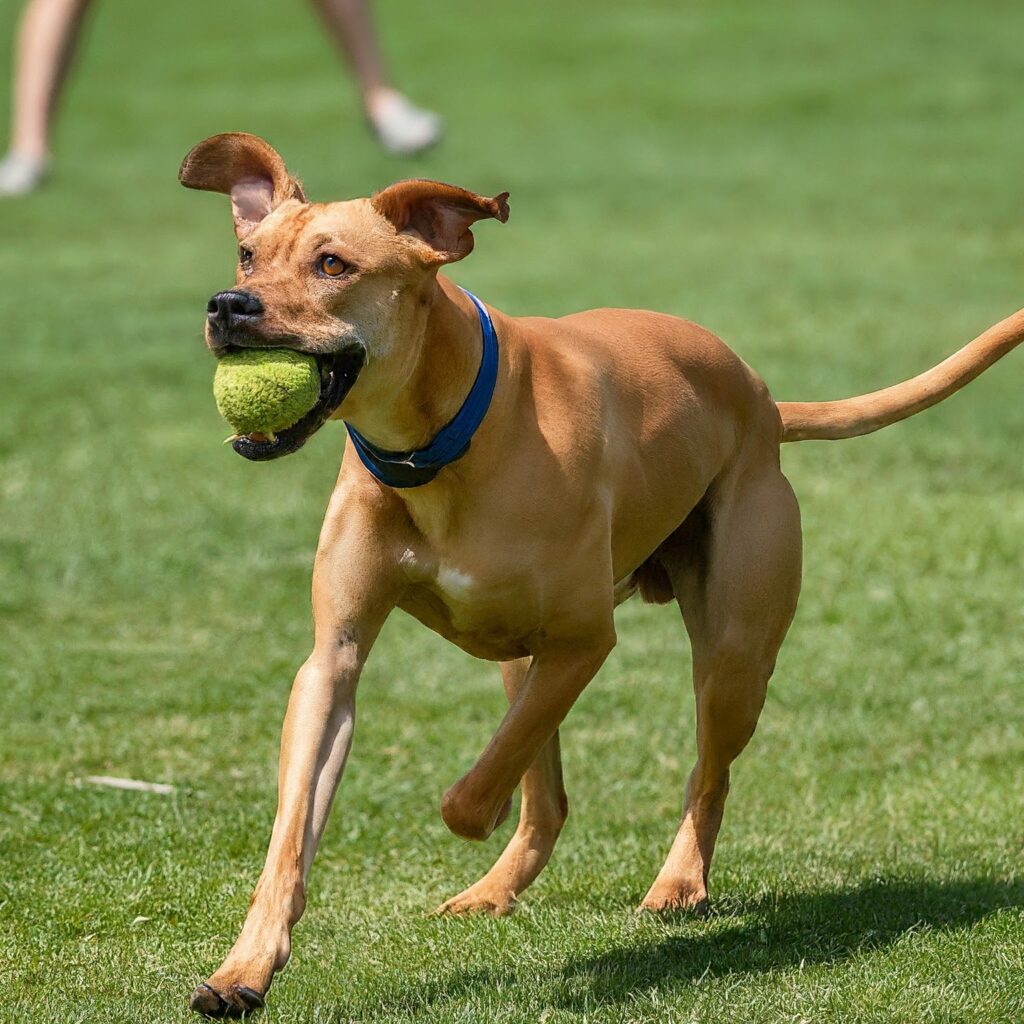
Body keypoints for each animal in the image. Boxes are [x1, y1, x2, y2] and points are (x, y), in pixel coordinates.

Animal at [178, 130, 1024, 1015]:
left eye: (334, 264)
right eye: (247, 255)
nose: (228, 307)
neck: (438, 444)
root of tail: (763, 400)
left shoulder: (586, 639)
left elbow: (469, 796)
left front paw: (465, 812)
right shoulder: (334, 660)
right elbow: (294, 830)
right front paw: (244, 969)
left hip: (733, 653)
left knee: (705, 773)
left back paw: (678, 883)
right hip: (532, 659)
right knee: (547, 796)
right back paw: (496, 888)